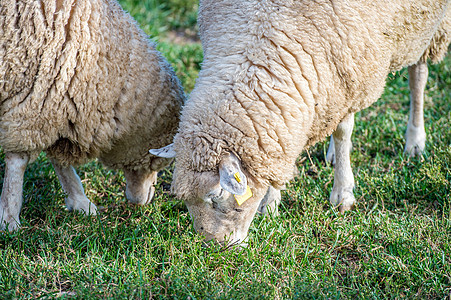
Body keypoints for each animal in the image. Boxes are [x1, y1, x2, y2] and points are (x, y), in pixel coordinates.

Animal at [0, 0, 185, 232]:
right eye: (154, 161)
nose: (143, 201)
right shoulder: (32, 99)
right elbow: (19, 161)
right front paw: (9, 218)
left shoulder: (51, 100)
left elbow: (58, 157)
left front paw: (80, 201)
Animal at [152, 0, 451, 244]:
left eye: (216, 196)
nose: (214, 245)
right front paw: (271, 201)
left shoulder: (351, 70)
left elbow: (344, 131)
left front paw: (342, 194)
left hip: (428, 28)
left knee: (418, 76)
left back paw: (415, 140)